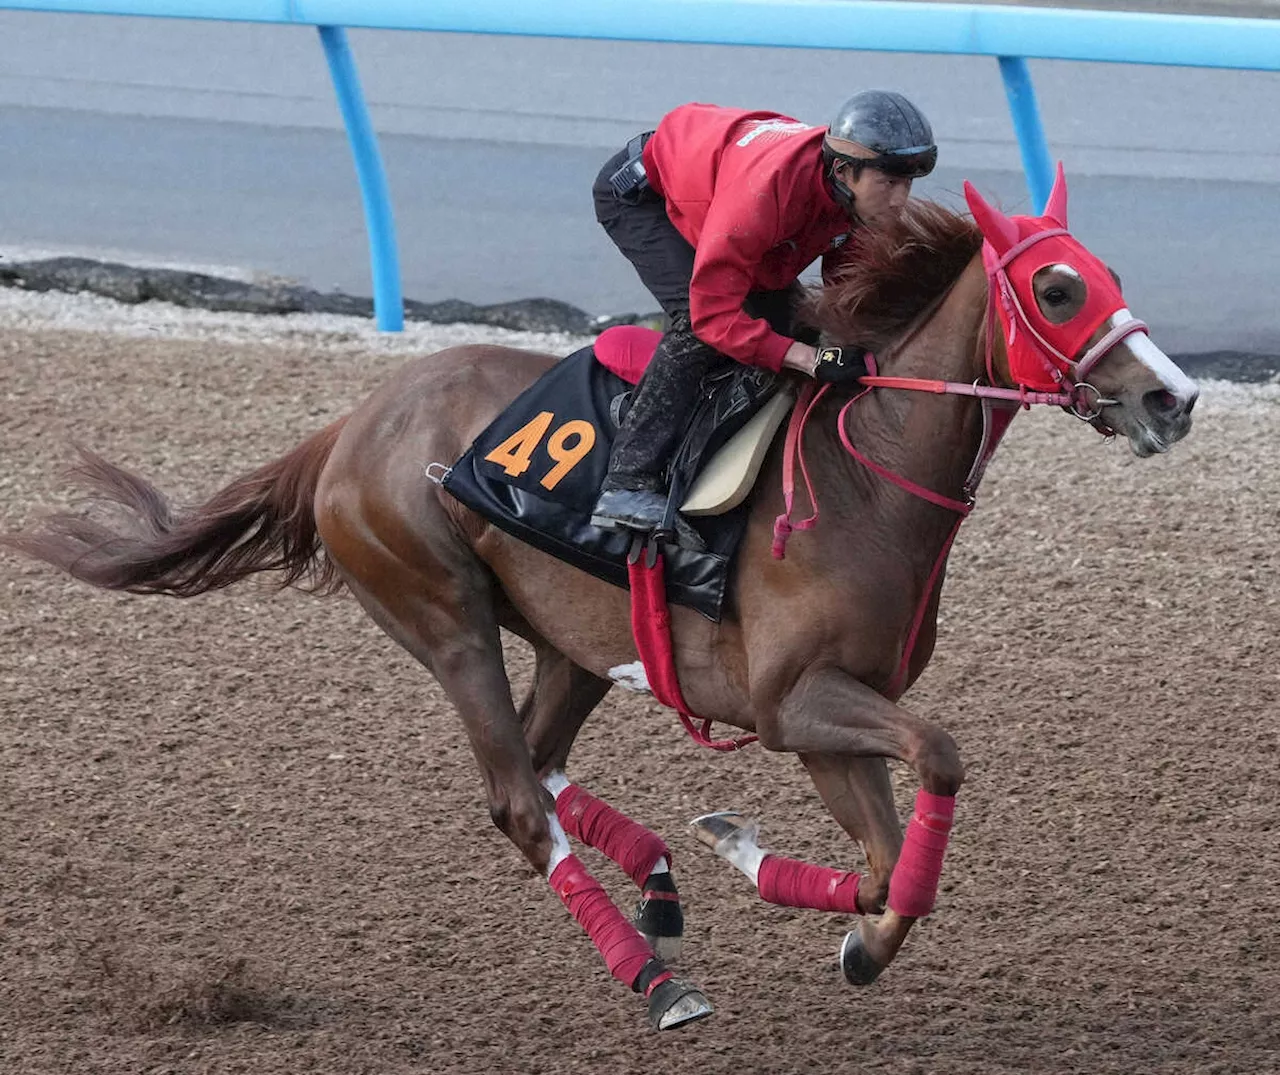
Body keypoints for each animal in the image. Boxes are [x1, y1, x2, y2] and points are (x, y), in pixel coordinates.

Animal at [2, 167, 1198, 1034]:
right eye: (1055, 289)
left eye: (1106, 271)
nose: (1172, 398)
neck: (867, 472)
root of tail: (351, 424)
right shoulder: (794, 703)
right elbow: (939, 761)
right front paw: (779, 884)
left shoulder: (824, 714)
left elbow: (883, 867)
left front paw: (795, 891)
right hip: (442, 614)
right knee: (515, 799)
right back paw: (654, 977)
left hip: (571, 642)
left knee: (541, 758)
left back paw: (661, 879)